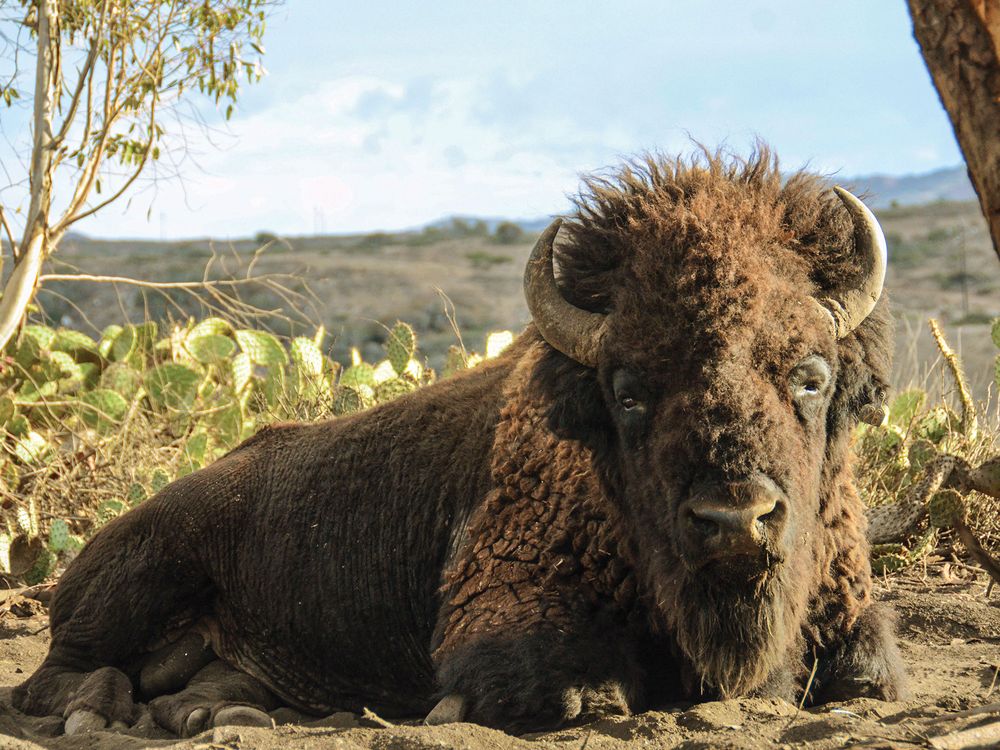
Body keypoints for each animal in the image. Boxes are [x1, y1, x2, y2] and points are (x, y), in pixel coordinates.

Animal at [13, 150, 908, 736]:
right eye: (628, 391)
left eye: (810, 375)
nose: (734, 521)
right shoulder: (497, 619)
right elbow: (570, 690)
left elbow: (869, 677)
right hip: (138, 576)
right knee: (51, 676)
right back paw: (100, 712)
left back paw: (212, 711)